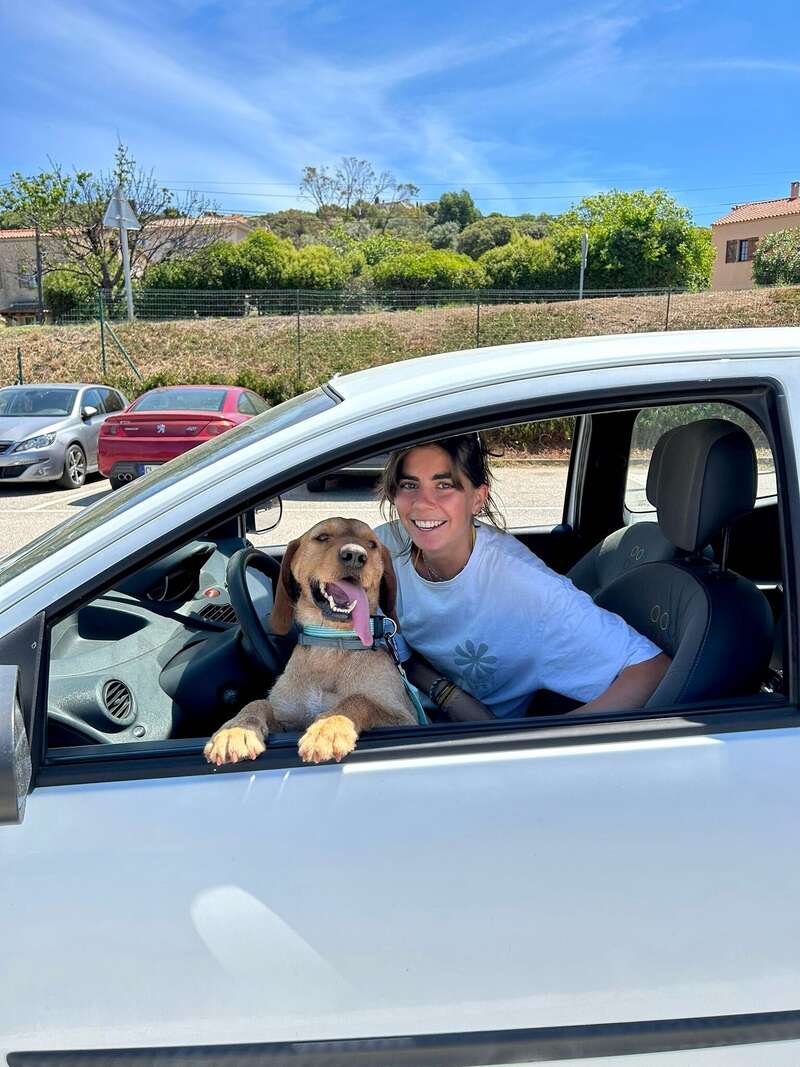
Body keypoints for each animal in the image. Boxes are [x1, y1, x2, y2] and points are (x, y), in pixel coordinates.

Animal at [204, 517, 419, 766]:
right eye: (322, 537)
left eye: (371, 544)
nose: (356, 555)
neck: (331, 642)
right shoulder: (287, 722)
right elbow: (258, 703)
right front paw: (236, 730)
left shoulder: (405, 719)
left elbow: (360, 700)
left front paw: (328, 728)